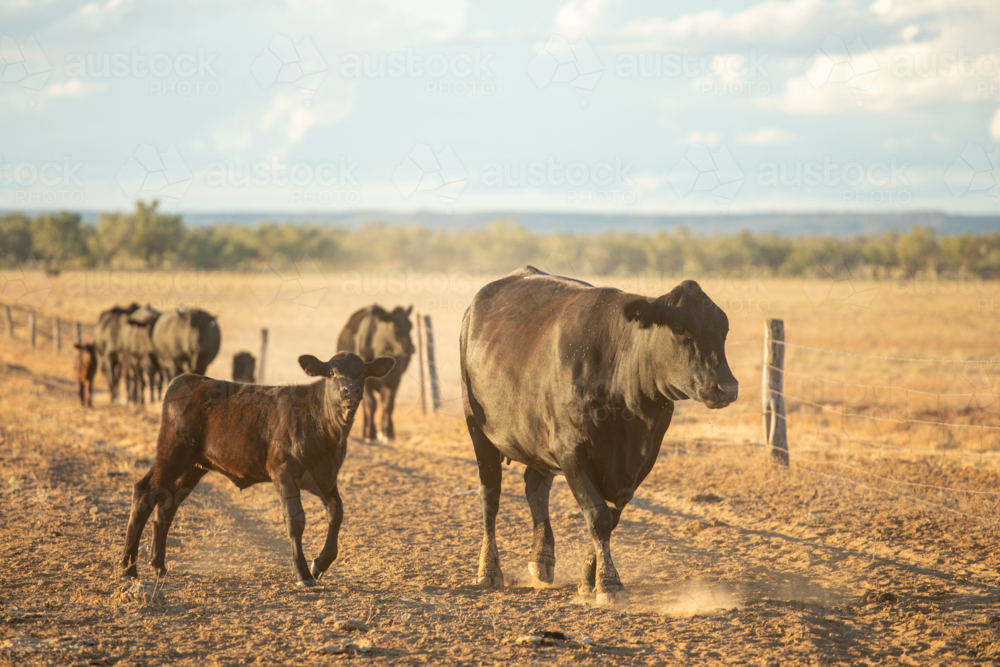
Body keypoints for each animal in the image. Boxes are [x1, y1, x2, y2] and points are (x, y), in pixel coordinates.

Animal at [119, 352, 395, 586]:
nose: (351, 391)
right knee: (144, 492)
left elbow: (337, 514)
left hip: (193, 466)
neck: (323, 428)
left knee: (167, 504)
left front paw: (319, 564)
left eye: (363, 374)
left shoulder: (326, 477)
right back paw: (129, 568)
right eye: (332, 373)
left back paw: (159, 566)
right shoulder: (282, 472)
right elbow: (295, 520)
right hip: (171, 453)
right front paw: (303, 574)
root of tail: (187, 379)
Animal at [337, 304, 415, 442]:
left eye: (411, 326)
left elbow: (388, 404)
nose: (410, 348)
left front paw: (387, 433)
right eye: (396, 326)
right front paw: (370, 433)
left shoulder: (395, 378)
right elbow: (371, 404)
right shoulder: (364, 380)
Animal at [460, 267, 738, 606]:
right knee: (490, 496)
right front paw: (609, 585)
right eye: (681, 328)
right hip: (478, 429)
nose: (728, 388)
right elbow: (598, 516)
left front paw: (588, 579)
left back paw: (542, 559)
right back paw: (489, 570)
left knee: (534, 487)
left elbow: (611, 517)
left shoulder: (640, 461)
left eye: (723, 330)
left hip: (538, 438)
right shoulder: (571, 451)